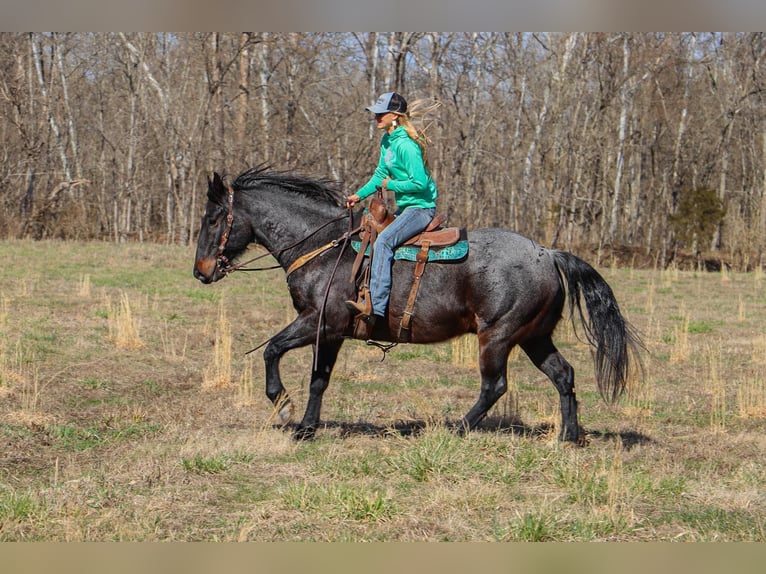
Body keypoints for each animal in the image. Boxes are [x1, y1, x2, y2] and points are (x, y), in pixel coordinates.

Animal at [195, 166, 644, 446]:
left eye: (214, 219)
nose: (201, 272)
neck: (325, 249)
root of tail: (548, 253)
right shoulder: (332, 332)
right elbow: (319, 379)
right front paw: (307, 428)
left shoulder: (318, 323)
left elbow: (272, 351)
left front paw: (285, 407)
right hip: (533, 337)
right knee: (563, 375)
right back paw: (569, 436)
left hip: (498, 335)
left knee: (495, 385)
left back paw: (458, 428)